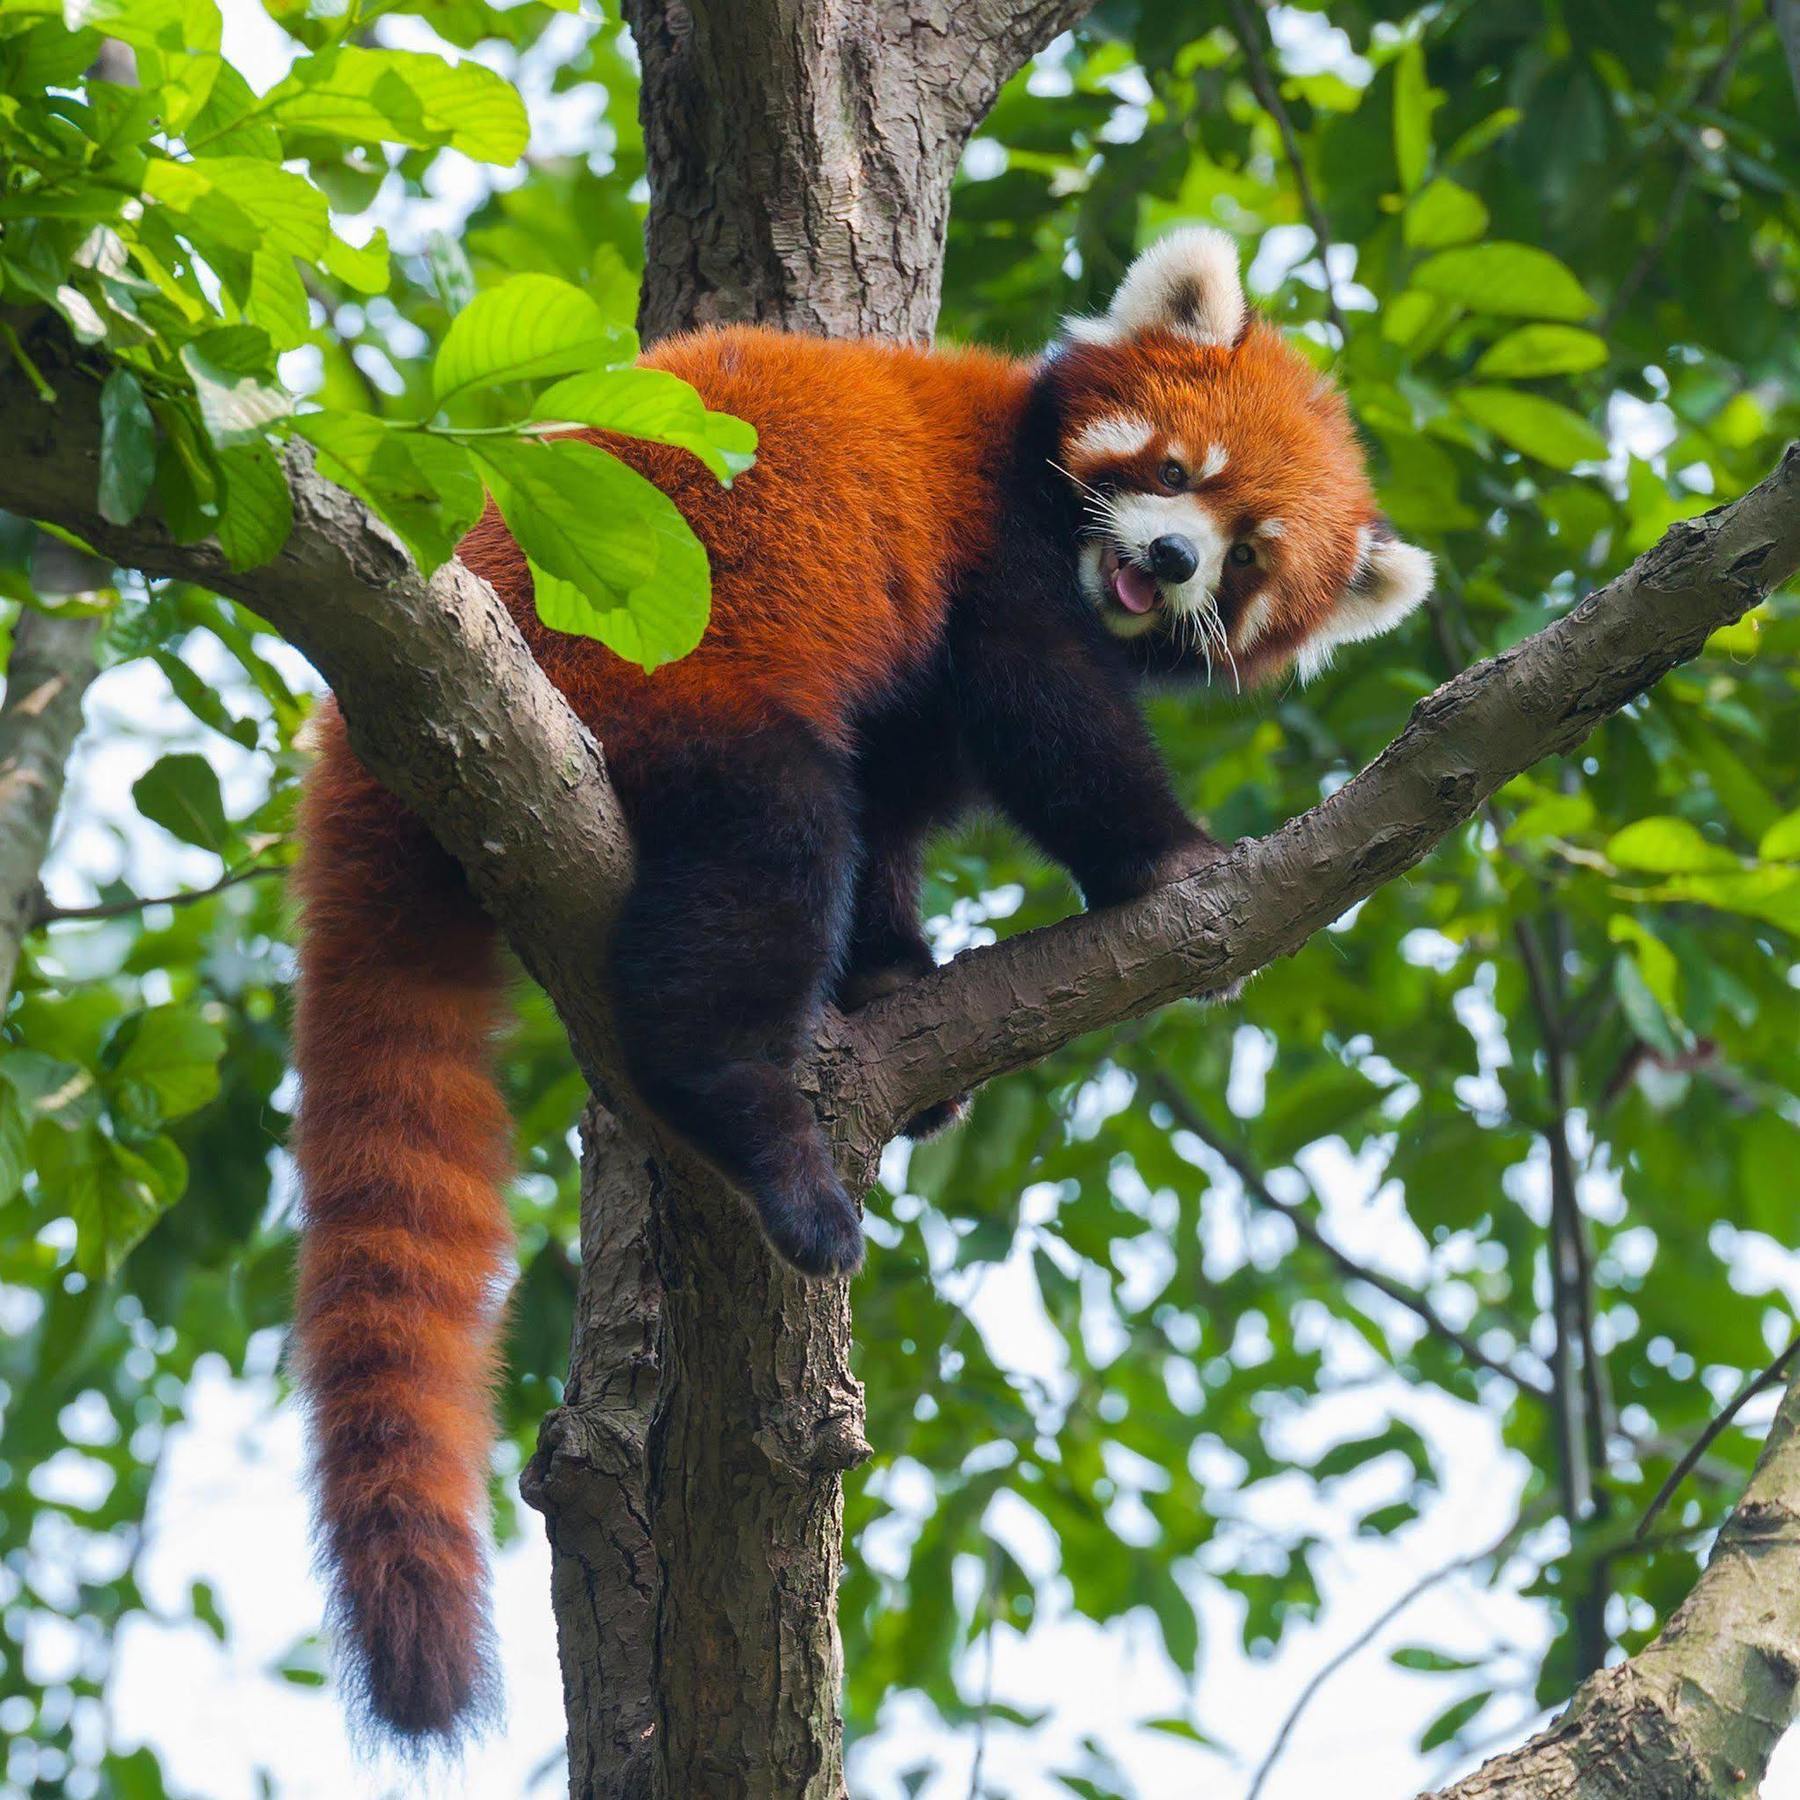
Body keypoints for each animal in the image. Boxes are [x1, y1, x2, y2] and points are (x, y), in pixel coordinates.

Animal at [288, 225, 1425, 1728]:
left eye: (1247, 558)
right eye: (1180, 473)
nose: (1173, 559)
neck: (1036, 476)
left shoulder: (920, 684)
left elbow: (903, 808)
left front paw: (885, 978)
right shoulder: (993, 560)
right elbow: (1043, 722)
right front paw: (1169, 859)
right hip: (661, 671)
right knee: (762, 865)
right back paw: (763, 1137)